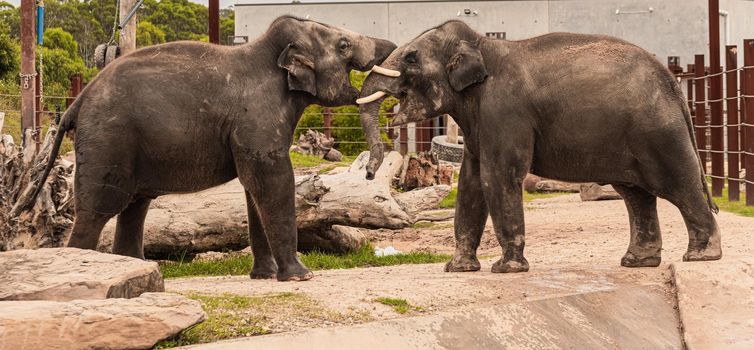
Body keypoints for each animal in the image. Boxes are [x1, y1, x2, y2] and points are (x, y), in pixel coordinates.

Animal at [25, 17, 394, 282]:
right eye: (344, 45)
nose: (391, 46)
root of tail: (78, 101)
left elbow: (253, 188)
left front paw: (265, 277)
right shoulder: (257, 117)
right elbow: (272, 181)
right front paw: (301, 277)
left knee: (135, 207)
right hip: (108, 140)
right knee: (98, 210)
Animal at [358, 21, 724, 274]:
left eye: (410, 58)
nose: (368, 173)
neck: (481, 44)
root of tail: (673, 83)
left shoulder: (504, 111)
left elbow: (499, 176)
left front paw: (505, 270)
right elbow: (471, 183)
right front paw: (457, 270)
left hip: (658, 132)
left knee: (679, 184)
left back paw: (701, 256)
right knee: (636, 195)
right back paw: (637, 262)